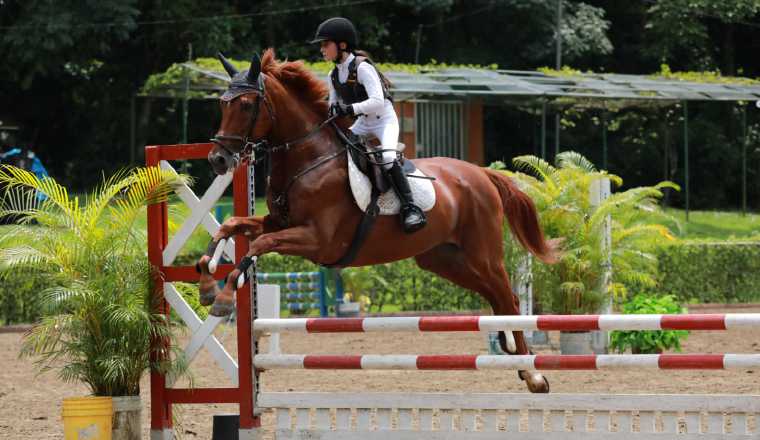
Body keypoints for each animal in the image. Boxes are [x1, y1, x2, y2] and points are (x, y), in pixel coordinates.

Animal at [199, 49, 560, 394]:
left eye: (247, 104)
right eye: (222, 103)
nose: (218, 160)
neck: (309, 158)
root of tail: (481, 173)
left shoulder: (317, 240)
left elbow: (259, 244)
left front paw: (224, 299)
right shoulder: (277, 222)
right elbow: (232, 225)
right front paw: (205, 280)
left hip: (483, 254)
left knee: (509, 299)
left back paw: (534, 374)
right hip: (446, 260)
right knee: (496, 298)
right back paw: (517, 360)